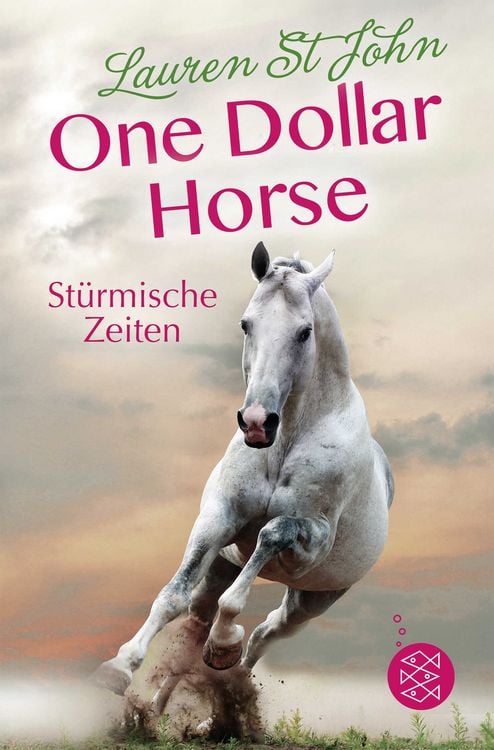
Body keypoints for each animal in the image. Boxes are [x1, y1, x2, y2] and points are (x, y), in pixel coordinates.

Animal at [93, 241, 394, 716]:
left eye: (305, 332)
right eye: (246, 323)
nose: (256, 422)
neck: (286, 439)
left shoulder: (309, 543)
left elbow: (266, 543)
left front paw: (223, 643)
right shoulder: (219, 518)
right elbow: (173, 595)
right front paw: (119, 667)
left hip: (312, 600)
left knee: (264, 634)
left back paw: (226, 673)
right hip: (222, 566)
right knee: (196, 623)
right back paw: (160, 710)